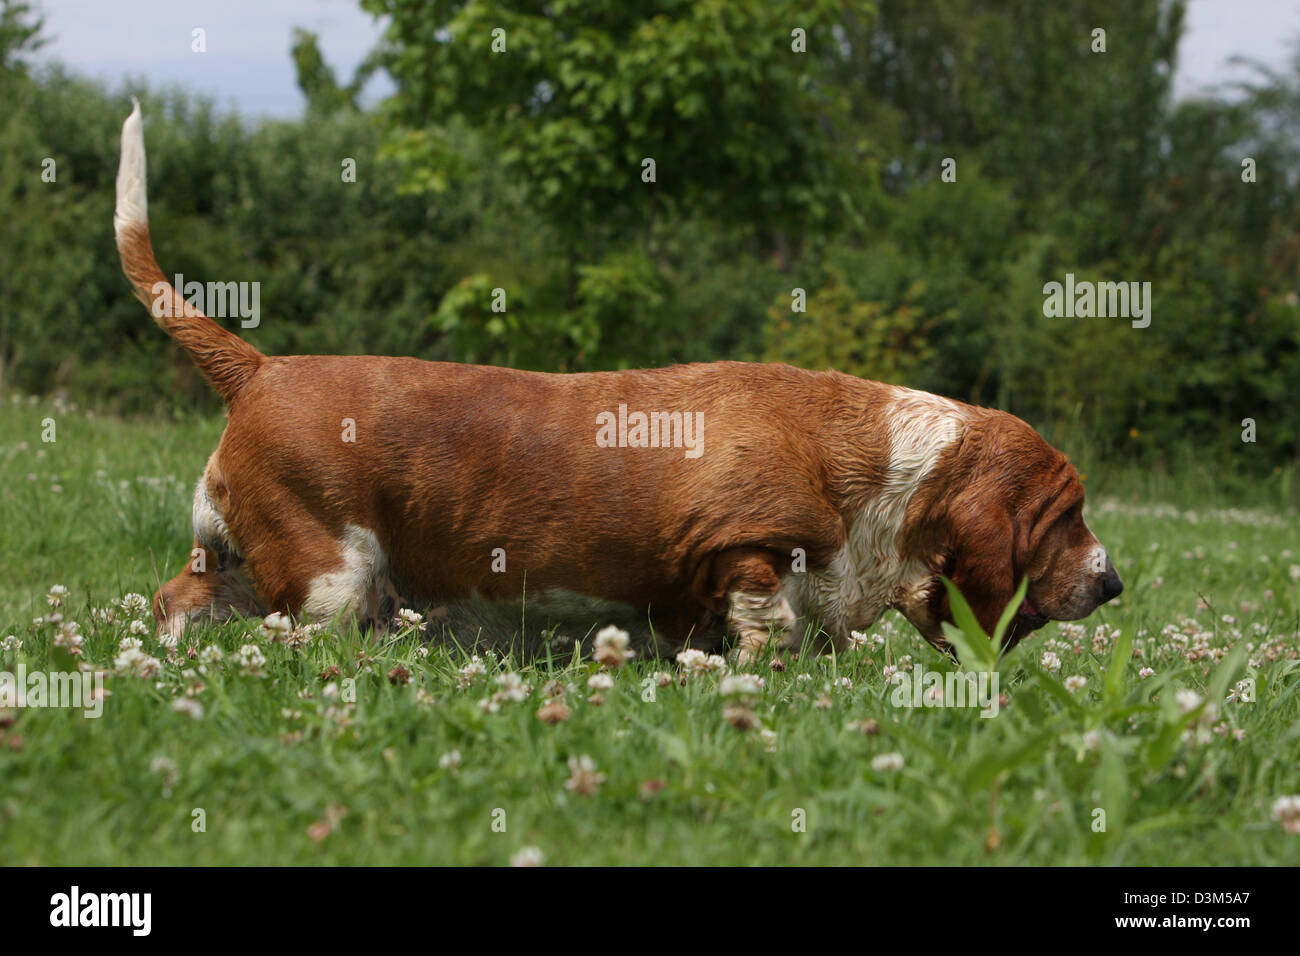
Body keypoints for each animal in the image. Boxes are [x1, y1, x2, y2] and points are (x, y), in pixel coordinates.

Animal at [116, 102, 1123, 658]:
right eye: (1065, 517)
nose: (1115, 583)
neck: (895, 468)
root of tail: (260, 368)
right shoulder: (743, 552)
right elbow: (770, 625)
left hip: (245, 562)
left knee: (177, 601)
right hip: (332, 572)